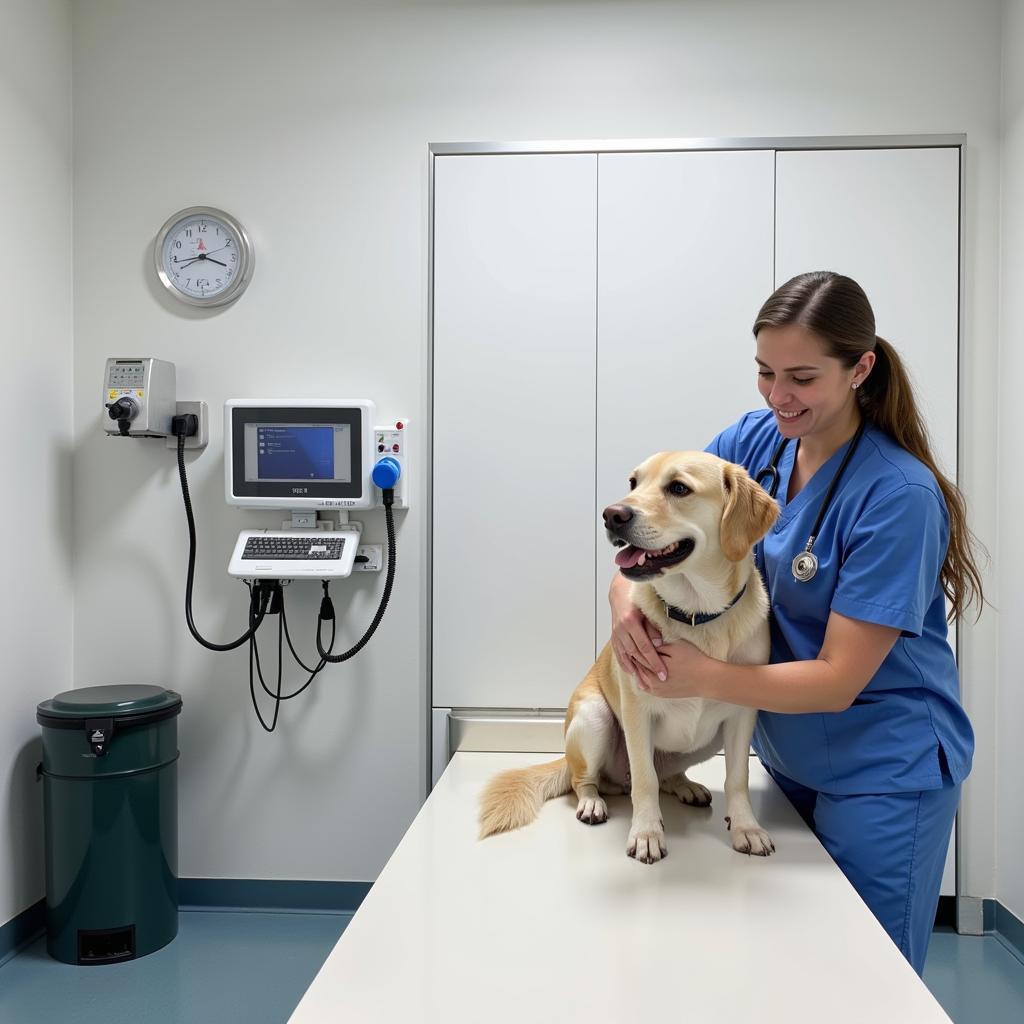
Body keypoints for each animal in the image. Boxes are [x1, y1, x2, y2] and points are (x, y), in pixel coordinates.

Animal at [477, 452, 774, 860]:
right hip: (595, 718)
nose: (611, 514)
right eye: (633, 483)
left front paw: (746, 826)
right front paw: (647, 833)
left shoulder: (742, 715)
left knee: (664, 776)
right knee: (589, 780)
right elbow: (645, 781)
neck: (696, 613)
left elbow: (737, 778)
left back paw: (685, 785)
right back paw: (592, 802)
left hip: (708, 740)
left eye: (678, 487)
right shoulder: (637, 711)